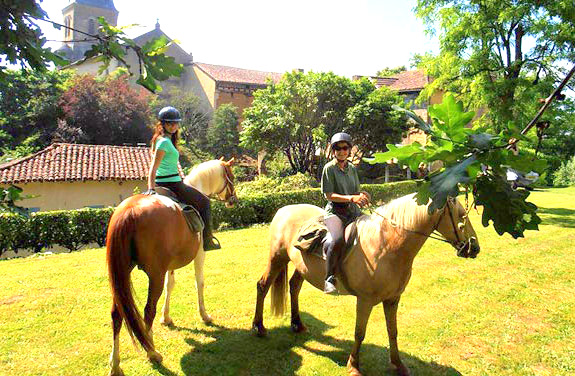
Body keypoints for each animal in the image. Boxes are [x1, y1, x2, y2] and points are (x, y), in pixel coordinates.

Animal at [107, 158, 235, 376]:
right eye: (231, 176)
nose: (233, 199)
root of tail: (130, 210)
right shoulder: (199, 255)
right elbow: (199, 283)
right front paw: (204, 315)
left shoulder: (169, 265)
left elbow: (171, 285)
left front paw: (166, 318)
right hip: (154, 275)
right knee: (148, 310)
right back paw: (152, 353)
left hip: (122, 273)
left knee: (117, 314)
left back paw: (115, 364)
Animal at [252, 194, 482, 376]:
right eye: (461, 216)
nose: (474, 248)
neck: (387, 244)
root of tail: (284, 210)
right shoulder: (365, 300)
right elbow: (359, 333)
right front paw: (354, 366)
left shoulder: (393, 299)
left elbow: (393, 331)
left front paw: (398, 364)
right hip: (277, 258)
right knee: (263, 286)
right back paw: (259, 327)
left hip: (301, 267)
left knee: (294, 287)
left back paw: (297, 324)